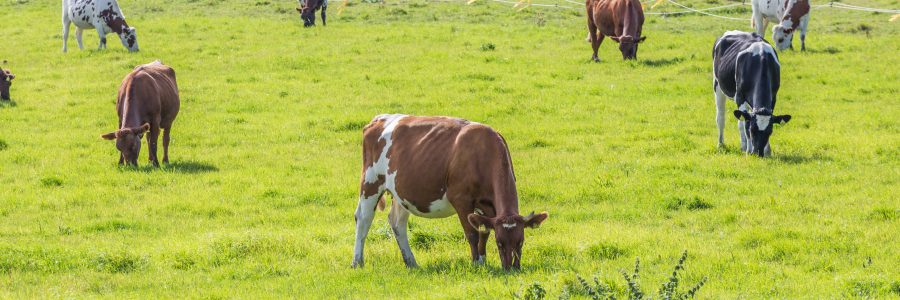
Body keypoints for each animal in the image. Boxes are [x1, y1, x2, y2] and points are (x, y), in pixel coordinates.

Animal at [352, 114, 548, 270]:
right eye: (499, 243)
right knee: (363, 218)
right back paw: (357, 262)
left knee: (397, 222)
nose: (511, 268)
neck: (483, 154)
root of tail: (380, 119)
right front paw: (477, 263)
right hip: (370, 181)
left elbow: (484, 233)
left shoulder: (486, 206)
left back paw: (411, 262)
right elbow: (472, 233)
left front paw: (483, 260)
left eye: (521, 241)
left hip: (401, 192)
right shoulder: (461, 200)